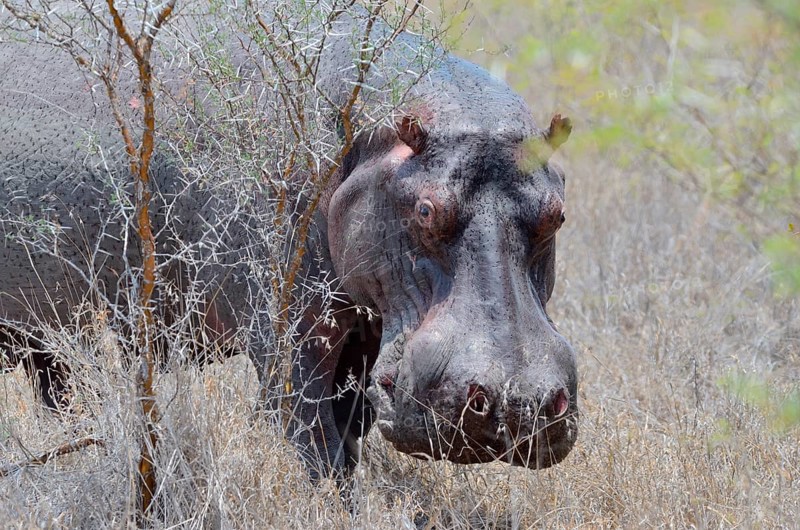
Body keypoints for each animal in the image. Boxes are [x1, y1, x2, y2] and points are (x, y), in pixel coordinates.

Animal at [0, 8, 578, 478]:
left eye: (557, 214)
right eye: (425, 209)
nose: (515, 405)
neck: (365, 135)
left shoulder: (363, 339)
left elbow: (349, 437)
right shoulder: (289, 341)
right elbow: (315, 446)